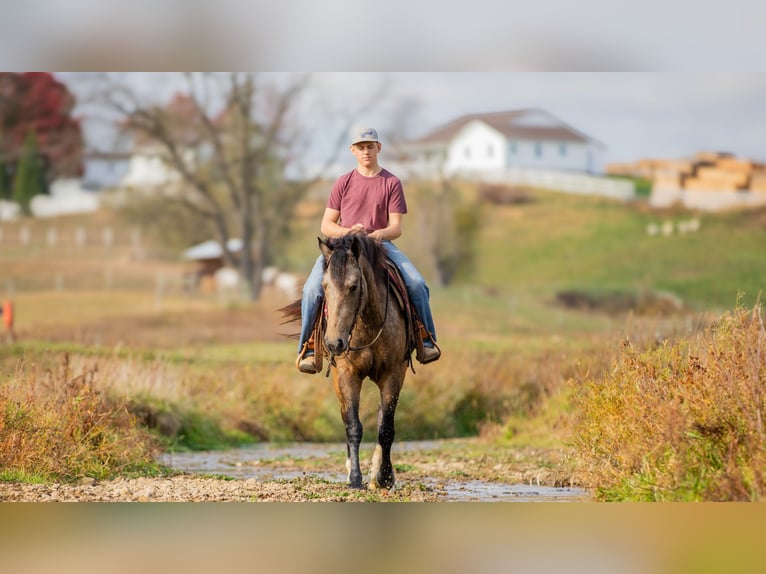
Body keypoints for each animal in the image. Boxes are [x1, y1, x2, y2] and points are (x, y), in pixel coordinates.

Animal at [284, 233, 414, 490]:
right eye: (325, 287)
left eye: (353, 287)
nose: (335, 343)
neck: (368, 324)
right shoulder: (346, 374)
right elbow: (353, 426)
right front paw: (355, 478)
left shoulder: (393, 374)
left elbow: (386, 428)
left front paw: (384, 476)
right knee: (346, 416)